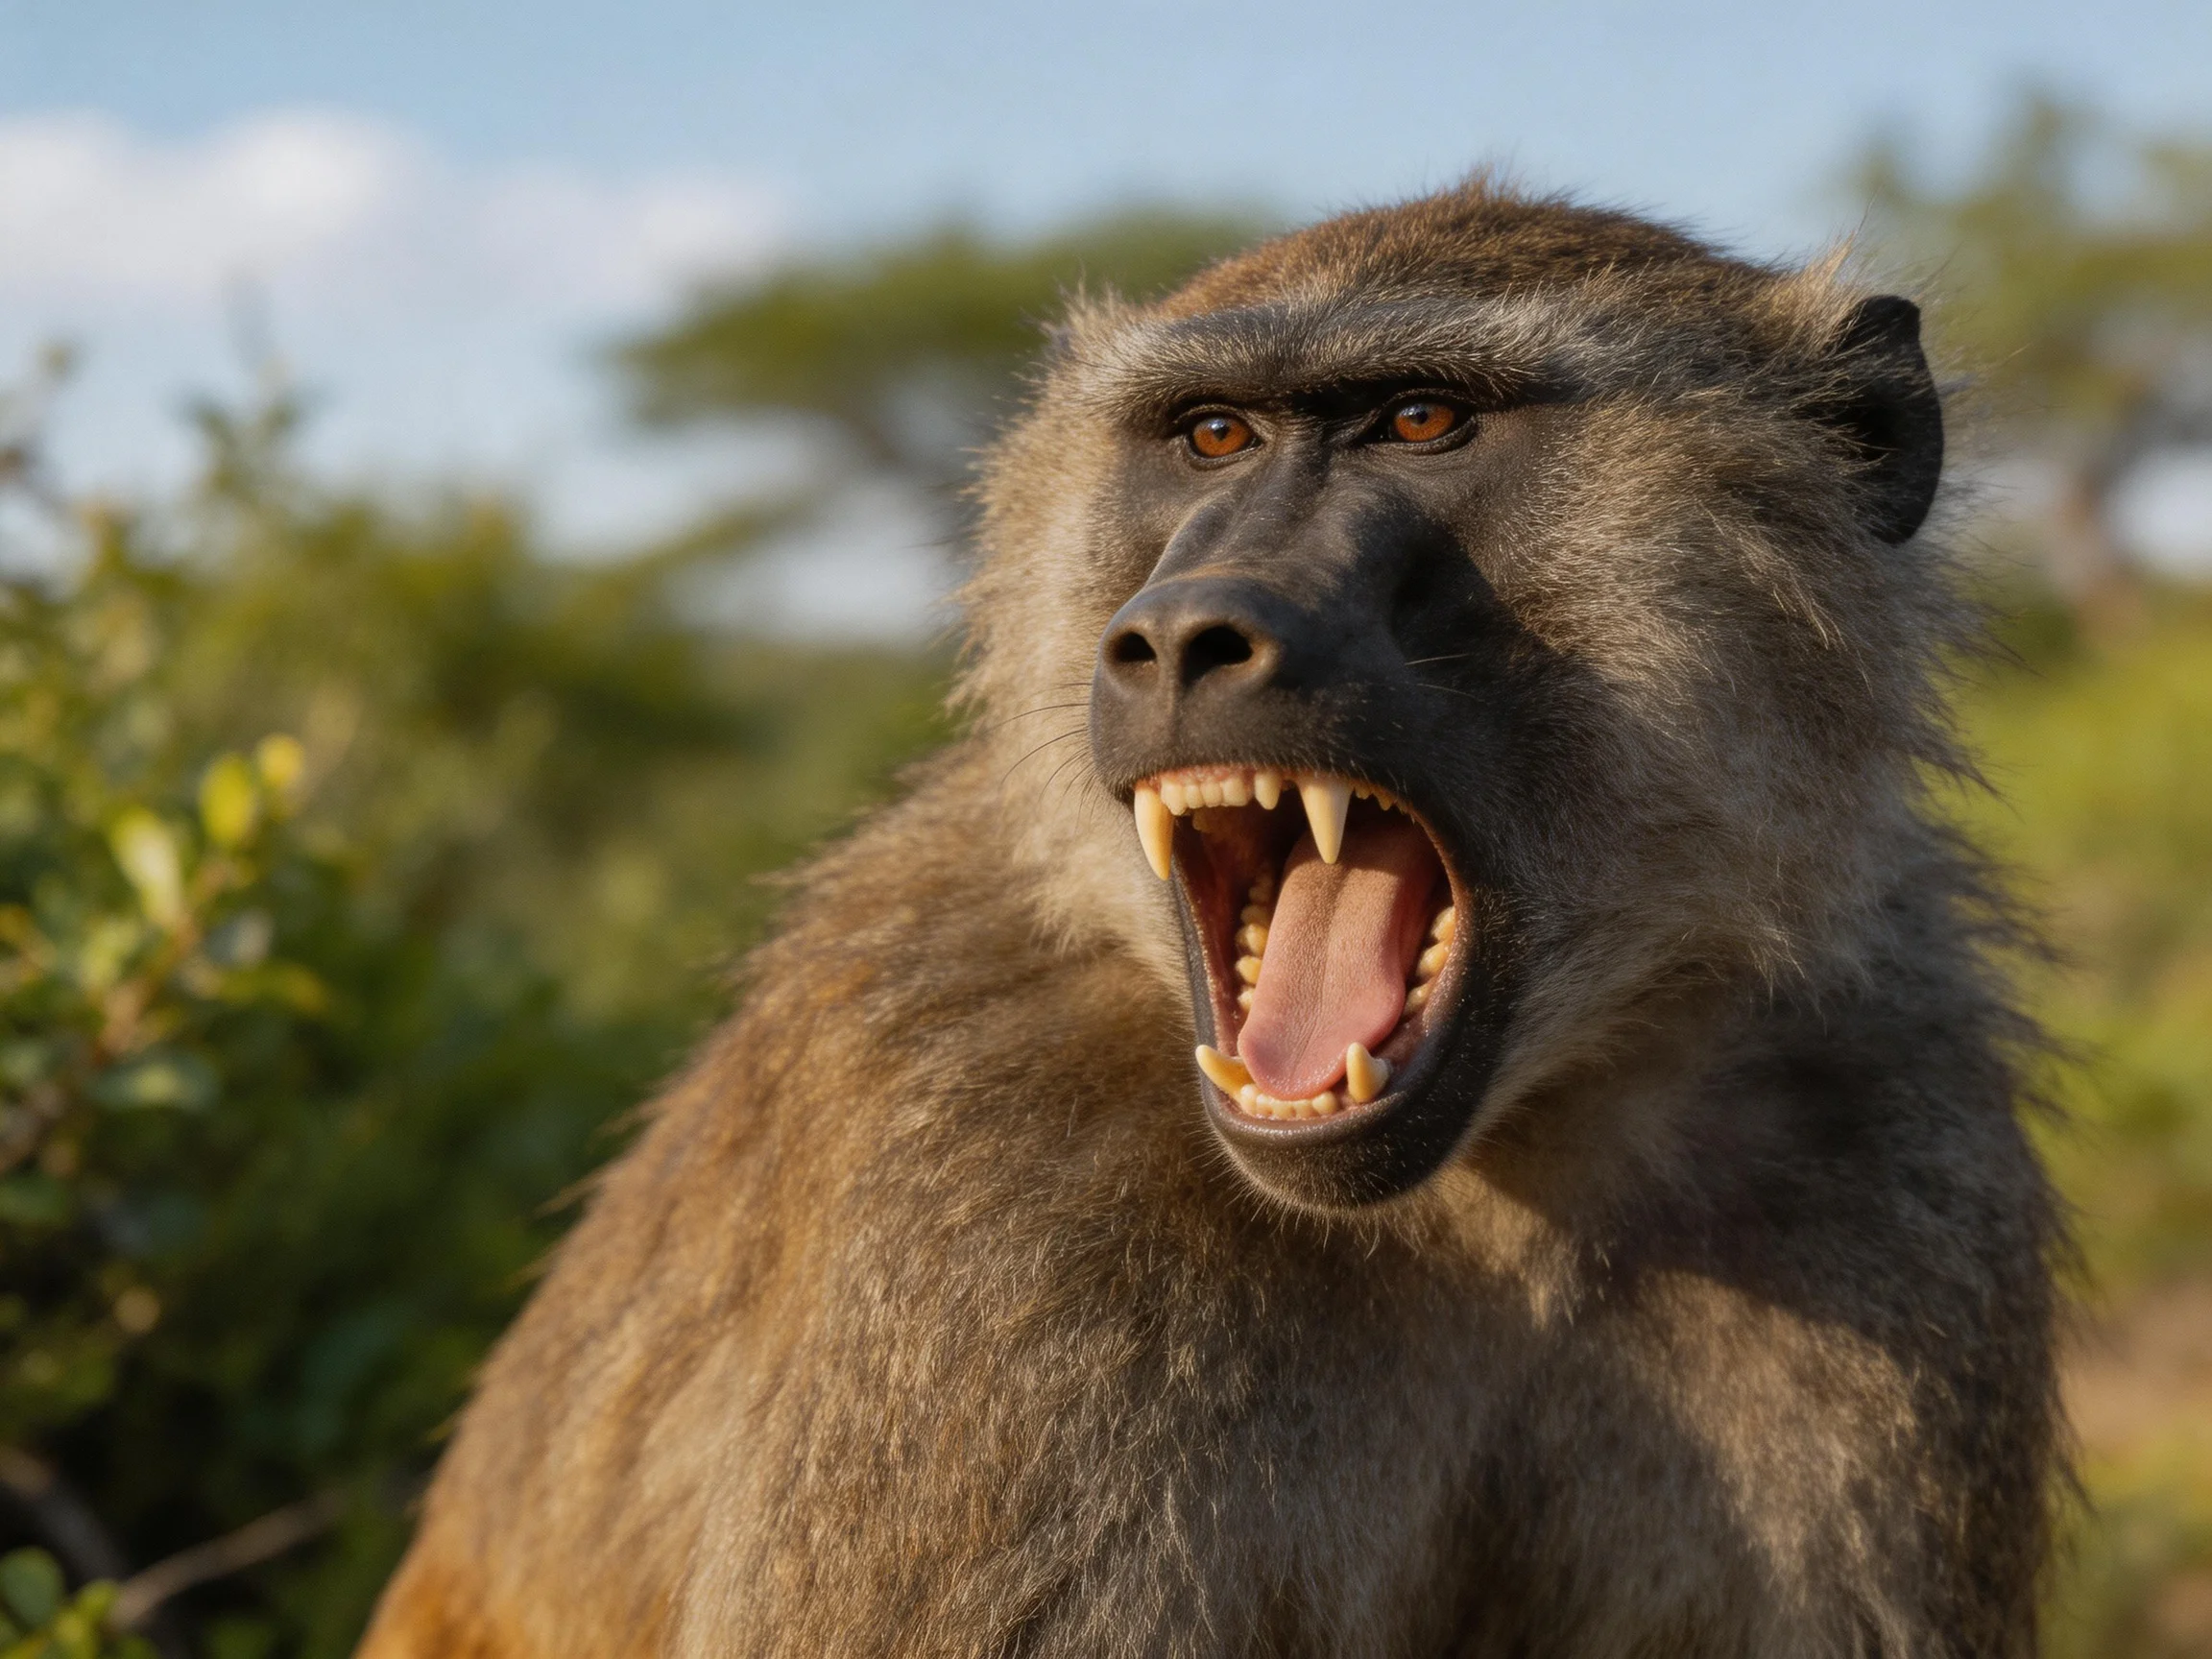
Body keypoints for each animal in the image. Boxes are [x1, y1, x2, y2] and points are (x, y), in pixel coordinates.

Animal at [357, 181, 2065, 1658]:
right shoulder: (986, 1217)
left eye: (1423, 419)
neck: (1497, 1181)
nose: (1183, 633)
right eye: (1211, 435)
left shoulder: (1885, 1144)